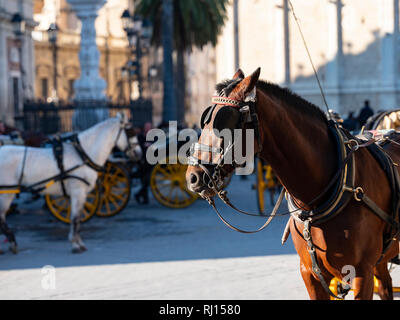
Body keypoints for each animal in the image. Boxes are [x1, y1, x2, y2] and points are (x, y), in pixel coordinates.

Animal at [0, 114, 129, 252]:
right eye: (130, 131)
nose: (136, 153)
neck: (82, 155)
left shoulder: (79, 194)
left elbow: (76, 217)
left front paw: (77, 241)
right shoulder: (78, 192)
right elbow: (75, 218)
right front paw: (75, 243)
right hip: (7, 193)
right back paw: (12, 241)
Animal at [186, 68, 400, 300]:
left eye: (225, 121)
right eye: (204, 121)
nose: (193, 177)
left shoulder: (361, 273)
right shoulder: (310, 274)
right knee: (385, 285)